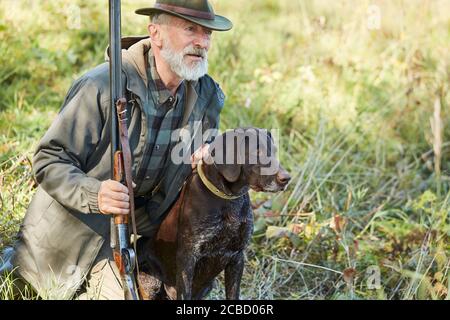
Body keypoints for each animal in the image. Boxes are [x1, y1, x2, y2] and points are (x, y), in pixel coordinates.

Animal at [137, 127, 292, 300]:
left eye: (274, 151)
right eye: (256, 152)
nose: (287, 178)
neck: (228, 199)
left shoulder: (237, 256)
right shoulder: (188, 258)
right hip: (152, 282)